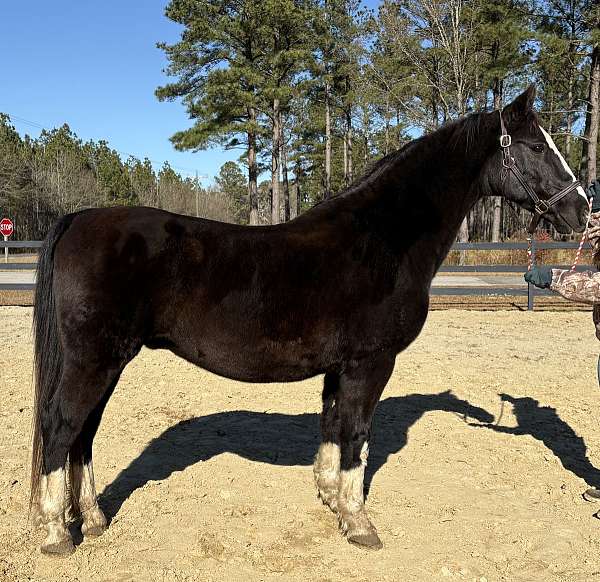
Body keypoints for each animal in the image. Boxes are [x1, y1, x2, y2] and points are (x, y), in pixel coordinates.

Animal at [30, 86, 588, 556]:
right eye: (536, 146)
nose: (582, 210)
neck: (383, 238)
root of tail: (79, 219)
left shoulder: (339, 367)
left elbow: (333, 425)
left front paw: (330, 497)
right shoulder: (370, 362)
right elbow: (357, 434)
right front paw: (359, 523)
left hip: (107, 362)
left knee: (83, 434)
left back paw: (93, 519)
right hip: (94, 360)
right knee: (60, 429)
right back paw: (58, 533)